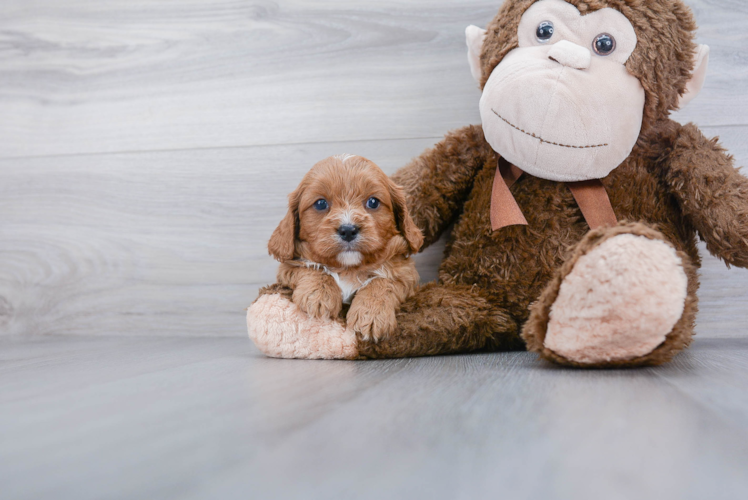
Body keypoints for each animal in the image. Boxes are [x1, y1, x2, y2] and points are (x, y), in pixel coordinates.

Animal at [268, 154, 424, 342]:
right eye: (320, 204)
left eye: (373, 202)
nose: (348, 230)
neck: (348, 268)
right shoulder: (288, 266)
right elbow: (313, 267)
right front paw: (318, 295)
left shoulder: (406, 273)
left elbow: (382, 281)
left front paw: (371, 314)